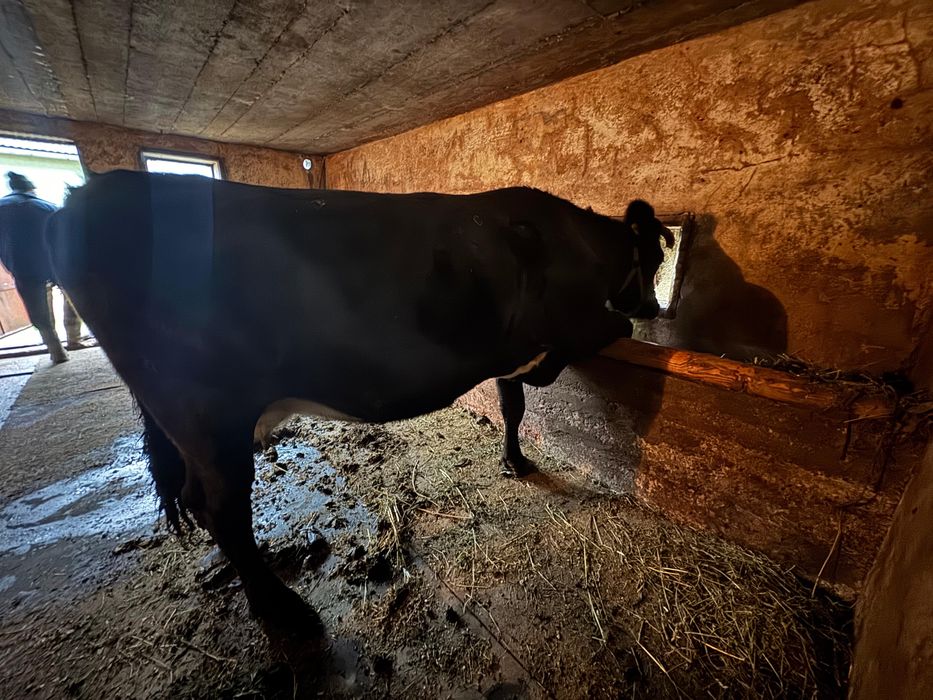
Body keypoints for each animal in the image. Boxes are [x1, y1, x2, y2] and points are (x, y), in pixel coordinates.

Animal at [46, 170, 672, 630]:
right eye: (656, 260)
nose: (656, 307)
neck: (579, 245)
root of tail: (85, 196)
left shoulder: (509, 353)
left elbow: (512, 406)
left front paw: (514, 461)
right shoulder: (575, 327)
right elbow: (605, 336)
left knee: (199, 501)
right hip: (206, 410)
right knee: (222, 508)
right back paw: (285, 612)